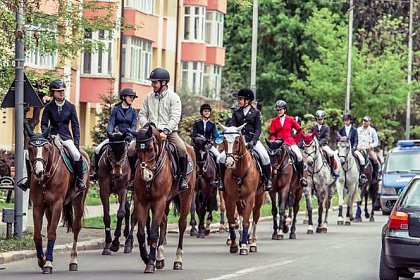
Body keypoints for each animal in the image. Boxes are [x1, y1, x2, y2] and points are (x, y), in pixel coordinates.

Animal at [24, 125, 89, 274]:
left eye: (46, 149)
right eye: (30, 149)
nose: (39, 172)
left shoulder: (57, 204)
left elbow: (52, 233)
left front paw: (48, 263)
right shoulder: (38, 206)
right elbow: (38, 234)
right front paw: (42, 260)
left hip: (79, 200)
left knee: (76, 227)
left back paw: (73, 261)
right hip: (48, 209)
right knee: (48, 227)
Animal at [133, 124, 195, 274]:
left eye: (150, 148)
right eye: (137, 149)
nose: (146, 175)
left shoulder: (159, 200)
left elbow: (154, 232)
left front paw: (150, 263)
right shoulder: (141, 202)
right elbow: (141, 234)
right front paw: (147, 258)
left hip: (186, 197)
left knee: (182, 224)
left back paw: (178, 261)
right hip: (166, 201)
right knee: (164, 222)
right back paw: (160, 259)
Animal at [218, 125, 264, 256]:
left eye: (237, 141)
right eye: (224, 141)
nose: (229, 163)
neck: (239, 171)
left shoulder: (250, 197)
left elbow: (246, 221)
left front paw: (243, 246)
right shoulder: (230, 197)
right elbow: (232, 220)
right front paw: (234, 244)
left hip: (259, 196)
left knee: (255, 216)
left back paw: (252, 243)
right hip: (238, 199)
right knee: (241, 213)